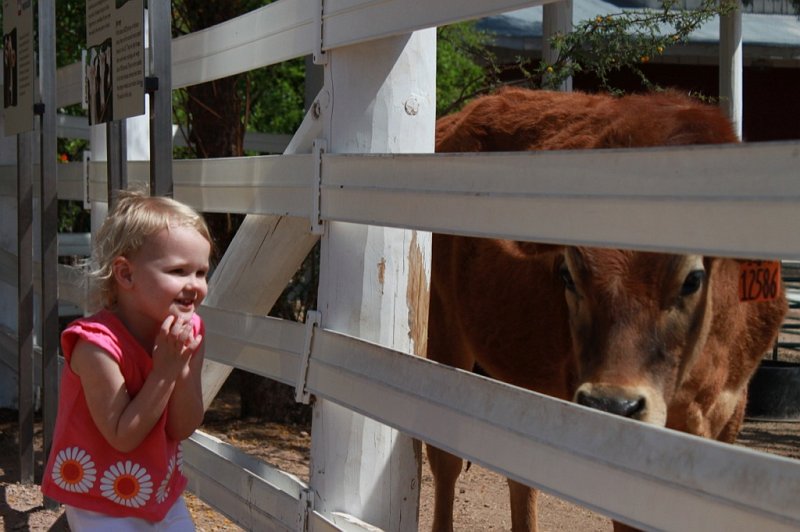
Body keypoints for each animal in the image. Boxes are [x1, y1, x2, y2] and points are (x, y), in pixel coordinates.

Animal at [426, 88, 788, 532]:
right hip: (445, 332)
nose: (612, 406)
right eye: (567, 275)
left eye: (692, 279)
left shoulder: (729, 411)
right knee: (445, 461)